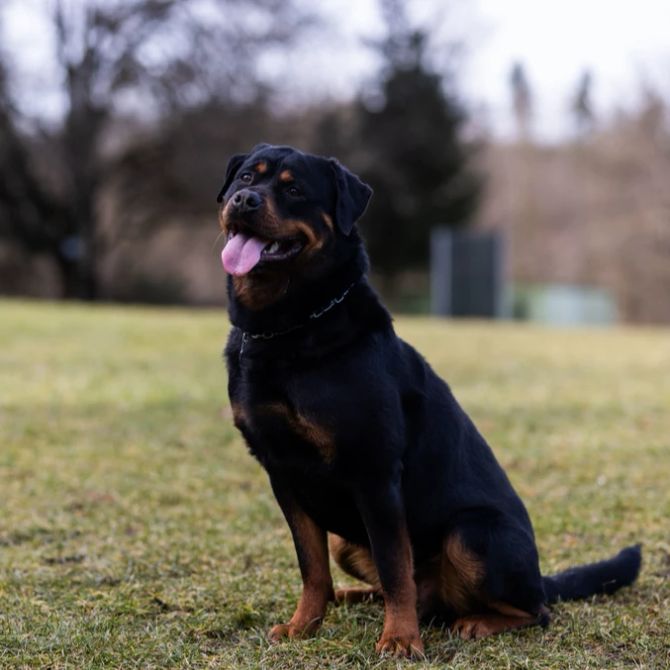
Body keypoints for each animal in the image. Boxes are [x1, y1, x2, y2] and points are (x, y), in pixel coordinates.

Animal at [218, 144, 644, 660]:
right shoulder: (283, 474)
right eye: (245, 177)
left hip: (472, 535)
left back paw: (475, 621)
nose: (243, 200)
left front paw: (400, 639)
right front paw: (304, 626)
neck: (287, 329)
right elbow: (312, 567)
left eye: (294, 188)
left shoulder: (375, 475)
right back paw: (354, 596)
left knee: (534, 610)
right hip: (346, 539)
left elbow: (395, 567)